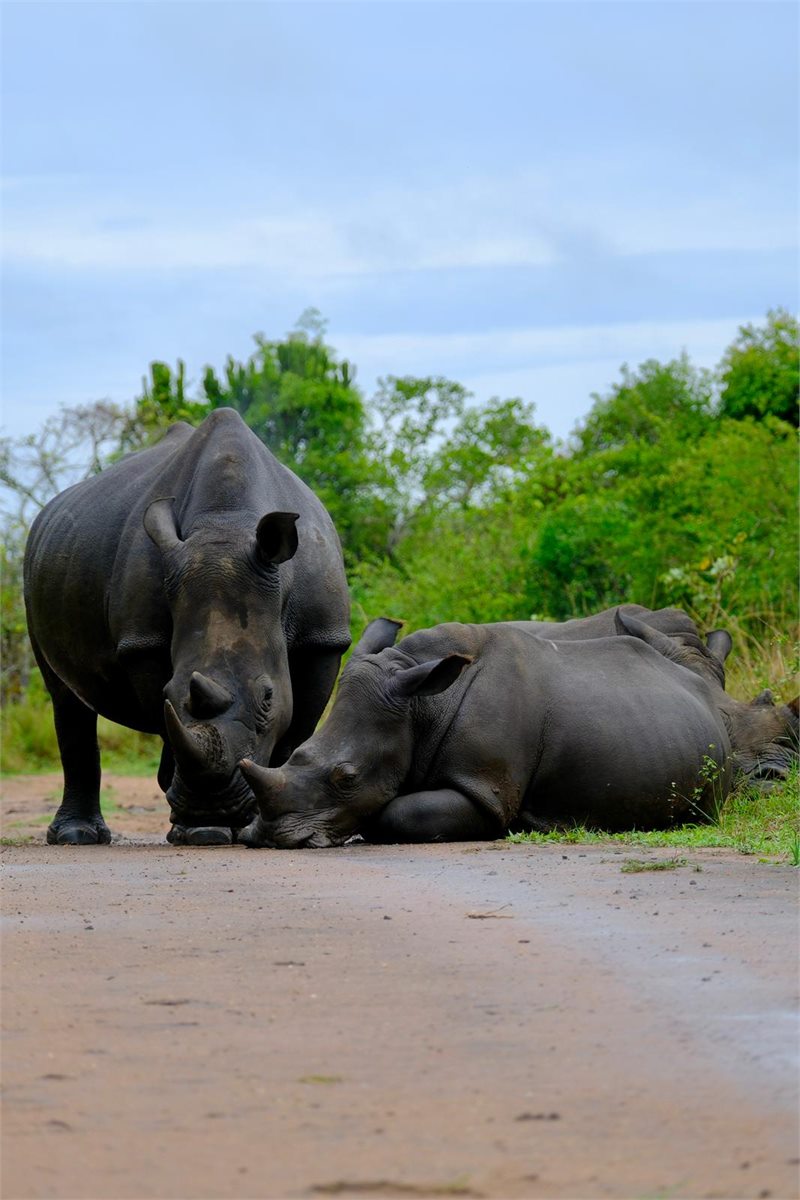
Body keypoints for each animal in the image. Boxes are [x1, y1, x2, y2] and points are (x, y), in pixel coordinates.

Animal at [23, 408, 351, 845]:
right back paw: (79, 837)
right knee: (64, 696)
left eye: (267, 698)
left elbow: (296, 728)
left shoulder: (323, 639)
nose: (212, 807)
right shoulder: (142, 642)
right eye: (169, 690)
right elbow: (166, 718)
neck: (227, 525)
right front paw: (200, 829)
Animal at [237, 610, 797, 848]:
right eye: (295, 755)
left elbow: (398, 812)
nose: (264, 838)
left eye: (347, 778)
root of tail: (703, 691)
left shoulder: (484, 786)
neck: (420, 705)